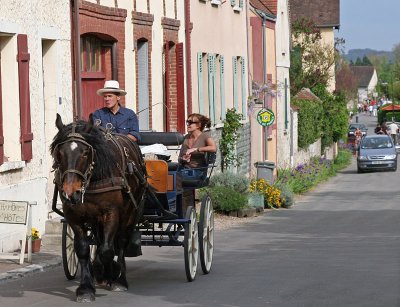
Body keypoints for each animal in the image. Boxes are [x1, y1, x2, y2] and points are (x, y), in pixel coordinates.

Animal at [50, 114, 147, 302]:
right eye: (59, 153)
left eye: (85, 152)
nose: (70, 193)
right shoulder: (73, 215)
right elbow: (83, 249)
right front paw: (86, 288)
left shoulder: (111, 213)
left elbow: (107, 250)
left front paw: (108, 275)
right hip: (94, 219)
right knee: (99, 240)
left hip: (130, 213)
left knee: (121, 242)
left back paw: (120, 279)